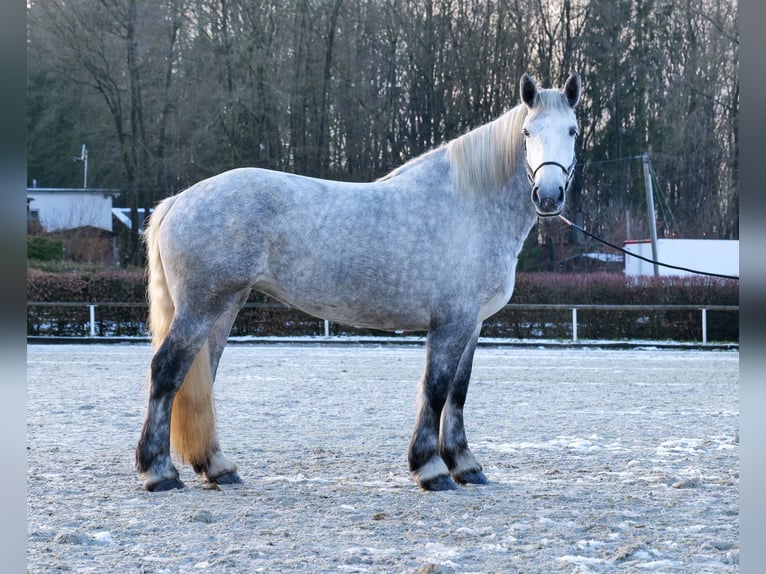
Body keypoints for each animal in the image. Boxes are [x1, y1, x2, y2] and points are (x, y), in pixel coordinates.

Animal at [136, 72, 584, 496]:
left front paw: (465, 465)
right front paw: (432, 469)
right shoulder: (450, 322)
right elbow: (436, 389)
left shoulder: (472, 325)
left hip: (225, 306)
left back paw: (217, 467)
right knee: (166, 371)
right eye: (527, 133)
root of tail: (178, 201)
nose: (548, 195)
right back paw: (159, 473)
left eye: (573, 130)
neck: (468, 205)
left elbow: (458, 391)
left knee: (200, 379)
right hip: (201, 307)